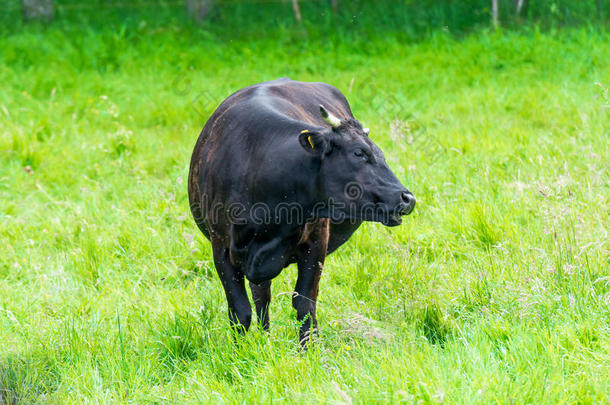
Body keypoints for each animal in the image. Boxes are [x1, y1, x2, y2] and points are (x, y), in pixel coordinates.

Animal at [186, 78, 414, 344]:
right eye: (359, 152)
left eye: (380, 153)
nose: (408, 198)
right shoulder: (220, 247)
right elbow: (240, 311)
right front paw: (239, 350)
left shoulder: (315, 243)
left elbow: (305, 304)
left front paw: (309, 349)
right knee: (261, 297)